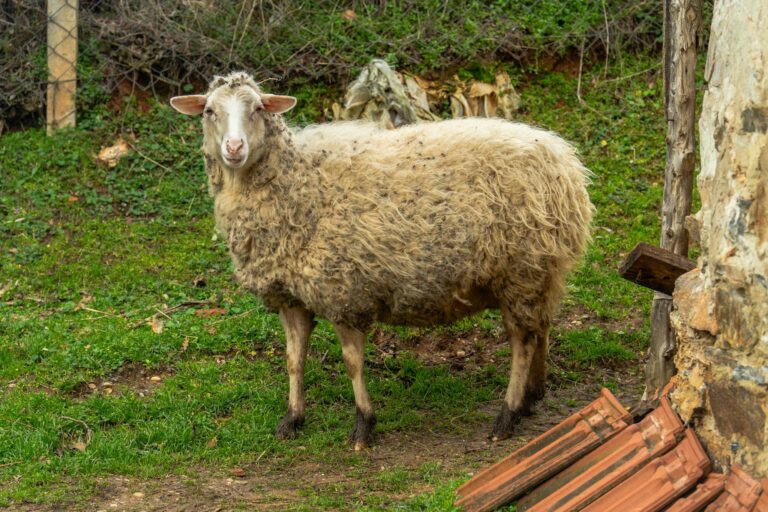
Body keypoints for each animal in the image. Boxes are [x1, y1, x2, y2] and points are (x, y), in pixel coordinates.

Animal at [170, 71, 593, 450]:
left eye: (257, 108)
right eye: (209, 111)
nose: (234, 148)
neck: (295, 181)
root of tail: (565, 164)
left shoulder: (344, 290)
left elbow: (352, 362)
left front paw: (363, 425)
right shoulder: (290, 296)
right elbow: (294, 360)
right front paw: (292, 419)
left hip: (521, 269)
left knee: (522, 341)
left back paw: (507, 416)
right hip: (540, 271)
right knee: (541, 327)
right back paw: (533, 395)